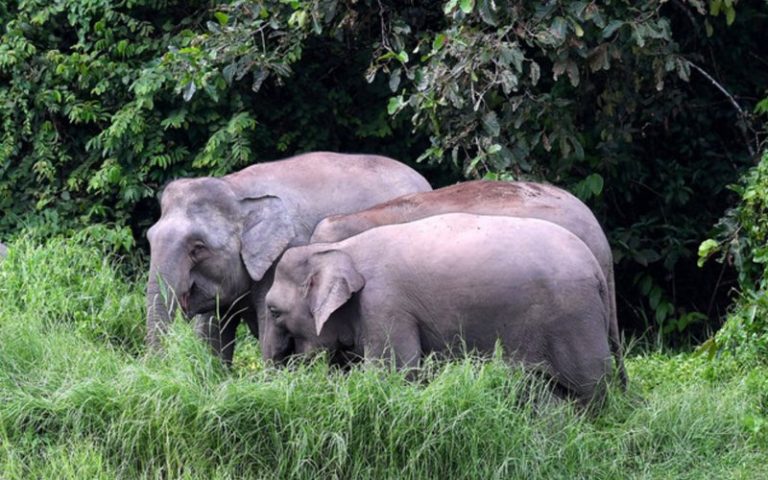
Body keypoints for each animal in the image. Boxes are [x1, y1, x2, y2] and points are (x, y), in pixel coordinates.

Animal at [145, 152, 431, 363]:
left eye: (198, 248)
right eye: (149, 238)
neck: (235, 188)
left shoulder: (282, 256)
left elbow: (266, 324)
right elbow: (212, 331)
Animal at [264, 213, 615, 406]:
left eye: (274, 311)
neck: (341, 249)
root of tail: (596, 267)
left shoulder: (385, 305)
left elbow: (394, 374)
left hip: (573, 318)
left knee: (591, 387)